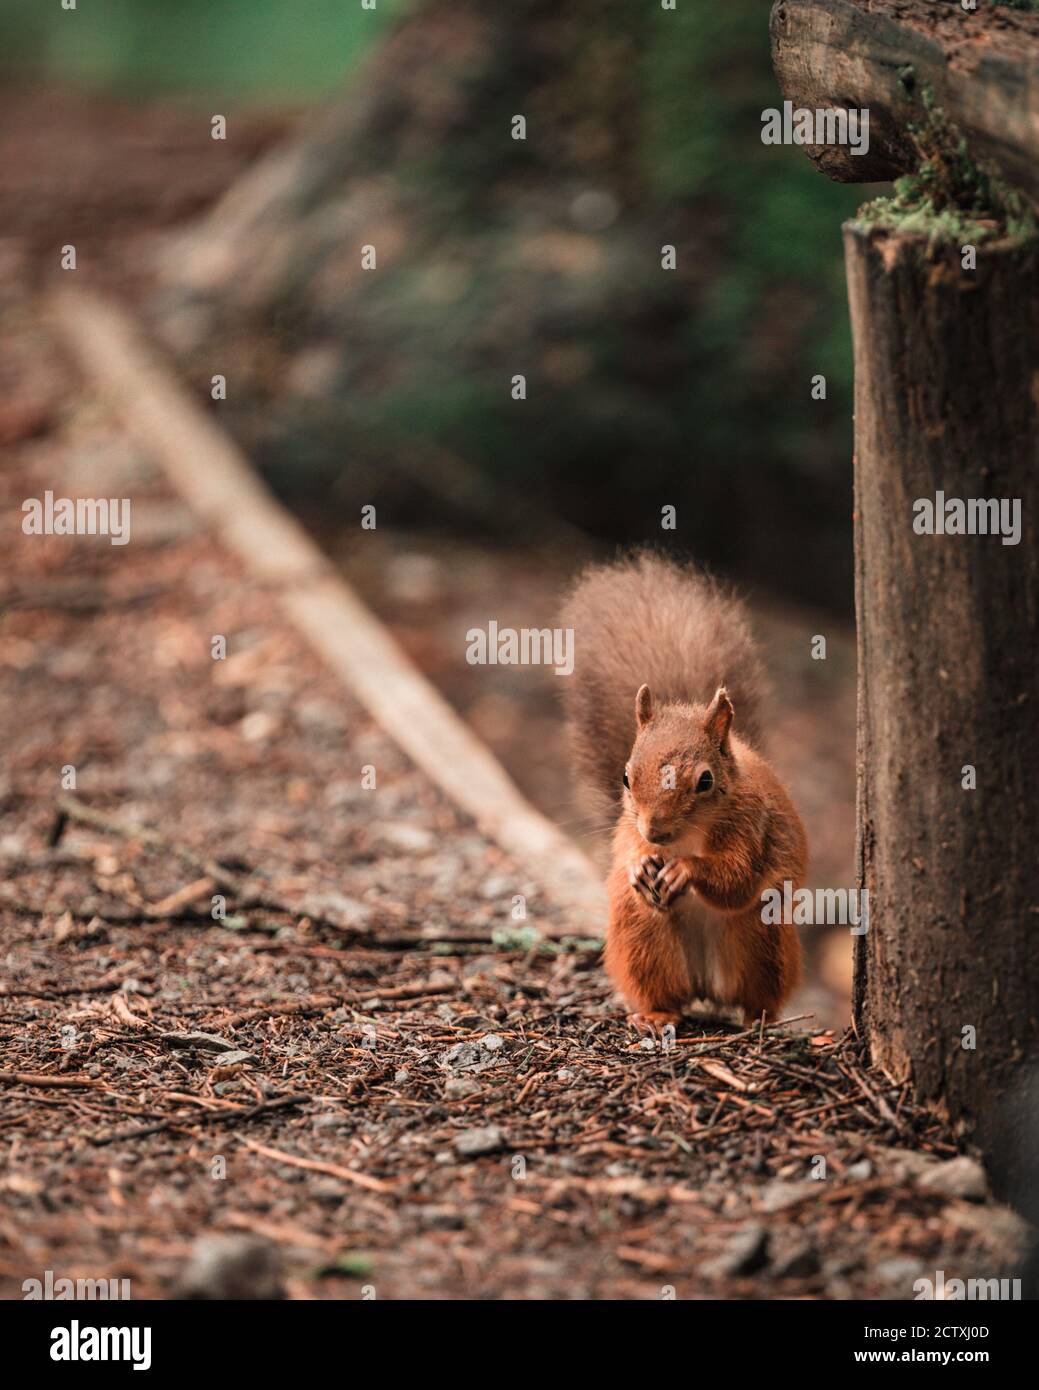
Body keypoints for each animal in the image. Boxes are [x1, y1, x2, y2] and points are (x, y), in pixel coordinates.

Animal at [562, 551, 807, 1032]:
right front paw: (640, 864)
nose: (655, 834)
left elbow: (735, 878)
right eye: (625, 777)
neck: (687, 837)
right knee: (663, 986)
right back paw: (657, 1014)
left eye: (705, 781)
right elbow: (626, 849)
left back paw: (758, 1019)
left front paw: (685, 872)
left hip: (763, 936)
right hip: (642, 932)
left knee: (755, 991)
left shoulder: (753, 827)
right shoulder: (628, 827)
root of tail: (705, 987)